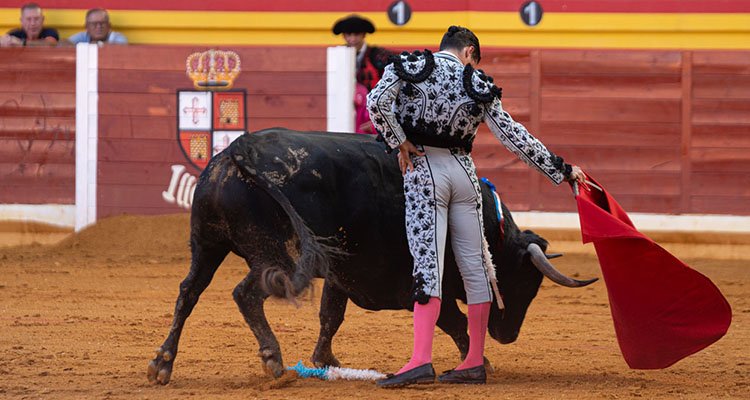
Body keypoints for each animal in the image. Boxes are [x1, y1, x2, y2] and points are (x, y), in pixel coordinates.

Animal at [147, 128, 596, 384]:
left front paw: (324, 361)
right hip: (279, 255)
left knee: (188, 291)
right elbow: (452, 320)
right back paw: (273, 363)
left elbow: (331, 315)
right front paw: (478, 360)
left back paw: (162, 365)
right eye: (525, 284)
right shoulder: (417, 280)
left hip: (207, 245)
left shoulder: (340, 271)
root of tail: (238, 152)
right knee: (245, 294)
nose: (509, 335)